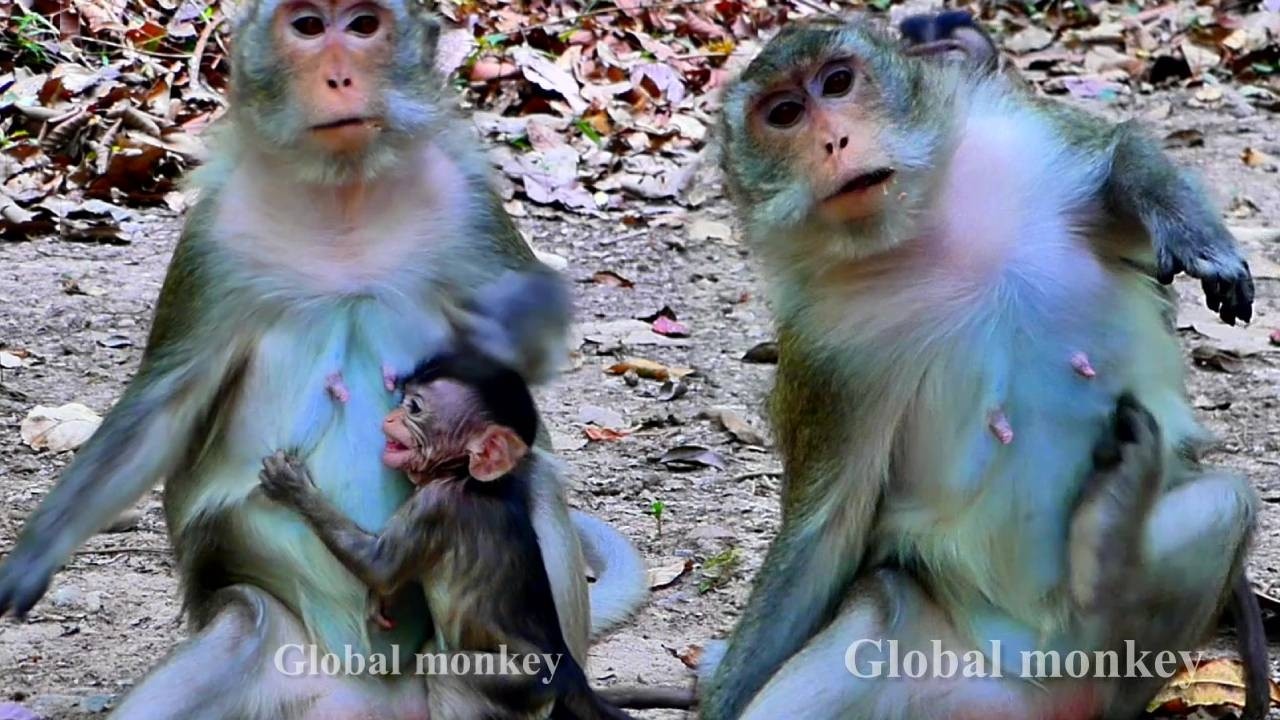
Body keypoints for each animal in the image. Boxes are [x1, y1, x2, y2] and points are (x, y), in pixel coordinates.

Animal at [258, 352, 634, 720]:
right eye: (403, 401)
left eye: (414, 408)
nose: (391, 416)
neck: (464, 476)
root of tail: (570, 670)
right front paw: (381, 602)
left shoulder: (436, 505)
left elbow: (379, 565)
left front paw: (293, 487)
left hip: (526, 682)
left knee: (443, 668)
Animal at [701, 17, 1262, 720]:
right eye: (783, 115)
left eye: (837, 82)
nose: (834, 140)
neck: (924, 235)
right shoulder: (824, 345)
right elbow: (820, 538)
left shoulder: (1022, 142)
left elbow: (1116, 153)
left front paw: (1195, 236)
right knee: (880, 605)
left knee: (1225, 505)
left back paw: (1109, 560)